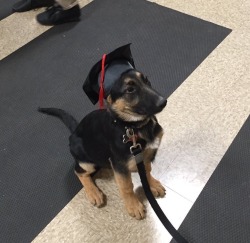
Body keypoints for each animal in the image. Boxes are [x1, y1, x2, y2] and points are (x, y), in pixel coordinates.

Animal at [39, 69, 167, 220]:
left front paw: (152, 185)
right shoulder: (120, 164)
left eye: (146, 80)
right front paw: (133, 205)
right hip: (87, 161)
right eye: (130, 90)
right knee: (79, 172)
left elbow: (146, 171)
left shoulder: (145, 156)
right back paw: (93, 192)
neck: (131, 126)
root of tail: (75, 131)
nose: (163, 101)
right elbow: (126, 186)